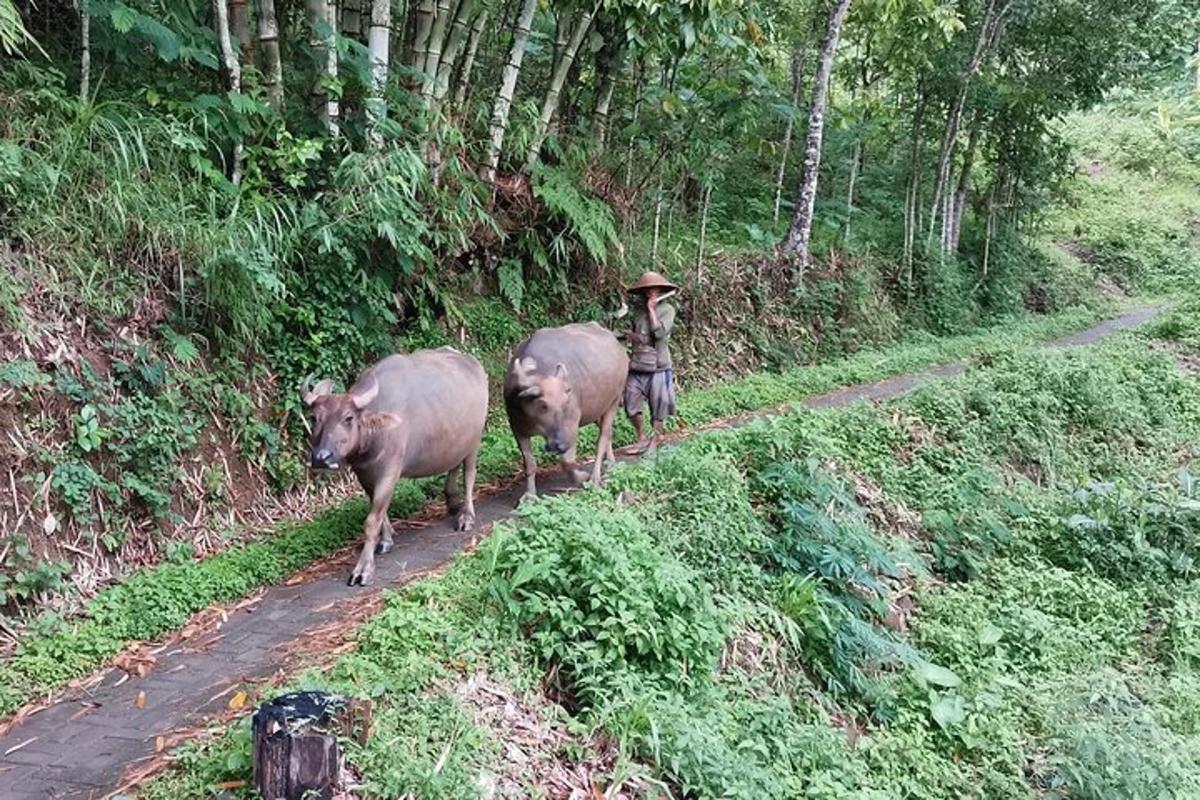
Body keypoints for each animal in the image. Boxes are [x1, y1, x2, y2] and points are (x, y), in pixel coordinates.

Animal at [300, 347, 487, 585]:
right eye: (315, 418)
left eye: (348, 418)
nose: (321, 458)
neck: (374, 432)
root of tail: (473, 365)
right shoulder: (364, 474)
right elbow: (379, 511)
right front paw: (386, 540)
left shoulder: (390, 471)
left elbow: (372, 520)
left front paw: (363, 569)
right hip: (457, 441)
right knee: (453, 464)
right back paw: (453, 501)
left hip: (475, 441)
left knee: (469, 475)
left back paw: (466, 516)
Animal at [501, 319, 628, 501]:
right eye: (543, 404)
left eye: (565, 403)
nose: (559, 445)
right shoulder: (517, 428)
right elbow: (529, 463)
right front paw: (530, 495)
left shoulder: (572, 424)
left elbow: (567, 461)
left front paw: (581, 477)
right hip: (597, 409)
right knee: (608, 433)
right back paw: (611, 466)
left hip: (614, 400)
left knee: (603, 437)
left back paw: (595, 478)